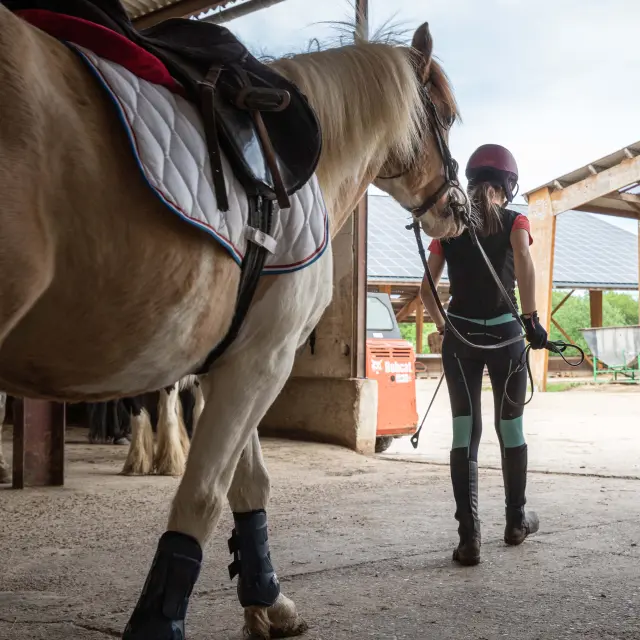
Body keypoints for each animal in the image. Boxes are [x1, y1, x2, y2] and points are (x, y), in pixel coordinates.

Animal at [0, 7, 465, 638]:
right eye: (445, 115)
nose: (459, 211)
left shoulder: (237, 360)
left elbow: (247, 483)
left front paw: (267, 600)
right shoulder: (264, 359)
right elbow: (203, 495)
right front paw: (163, 621)